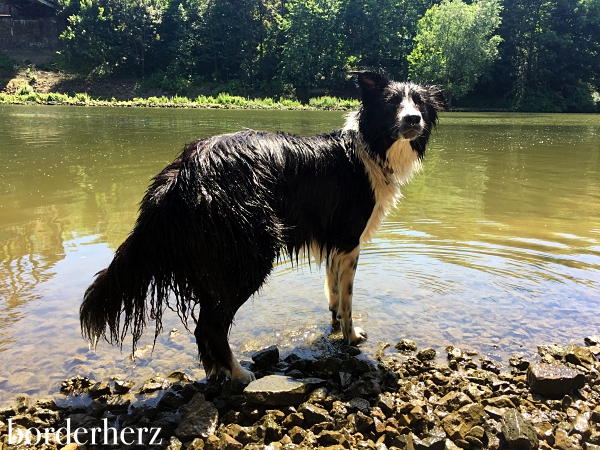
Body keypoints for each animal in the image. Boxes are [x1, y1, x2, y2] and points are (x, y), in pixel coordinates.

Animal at [79, 70, 446, 384]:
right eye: (392, 103)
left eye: (420, 104)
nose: (413, 119)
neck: (371, 148)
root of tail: (182, 174)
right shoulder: (349, 239)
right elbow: (348, 300)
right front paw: (352, 337)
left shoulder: (334, 243)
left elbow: (333, 293)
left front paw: (335, 328)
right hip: (249, 254)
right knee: (211, 326)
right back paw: (239, 374)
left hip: (212, 265)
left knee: (202, 327)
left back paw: (216, 372)